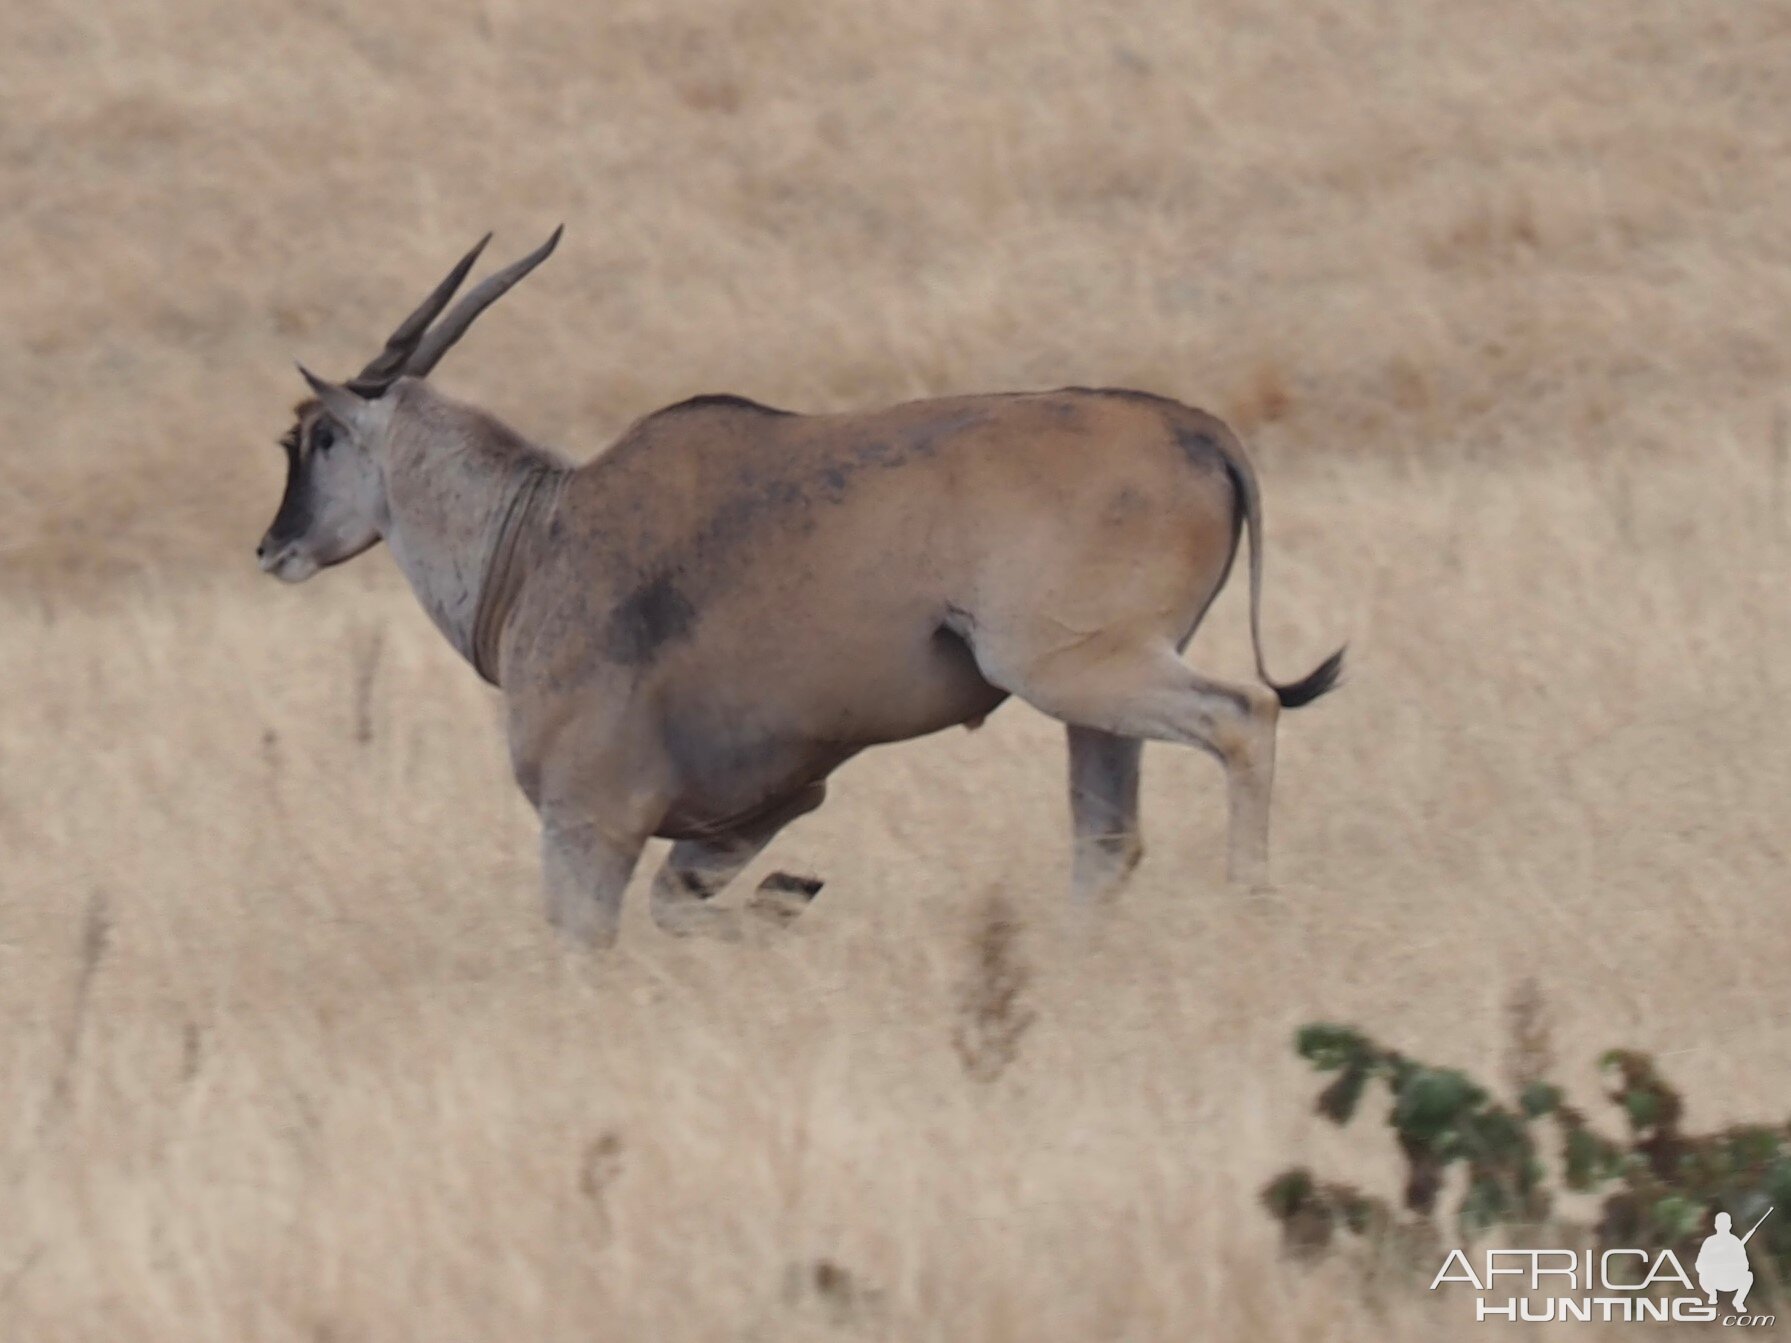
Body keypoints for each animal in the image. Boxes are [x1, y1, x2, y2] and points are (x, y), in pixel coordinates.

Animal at [259, 229, 1339, 945]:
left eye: (317, 436)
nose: (273, 546)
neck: (539, 532)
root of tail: (1196, 427)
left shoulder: (588, 819)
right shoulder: (754, 812)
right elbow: (685, 907)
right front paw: (793, 899)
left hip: (1079, 670)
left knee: (1244, 715)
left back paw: (1253, 906)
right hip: (1090, 706)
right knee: (1106, 841)